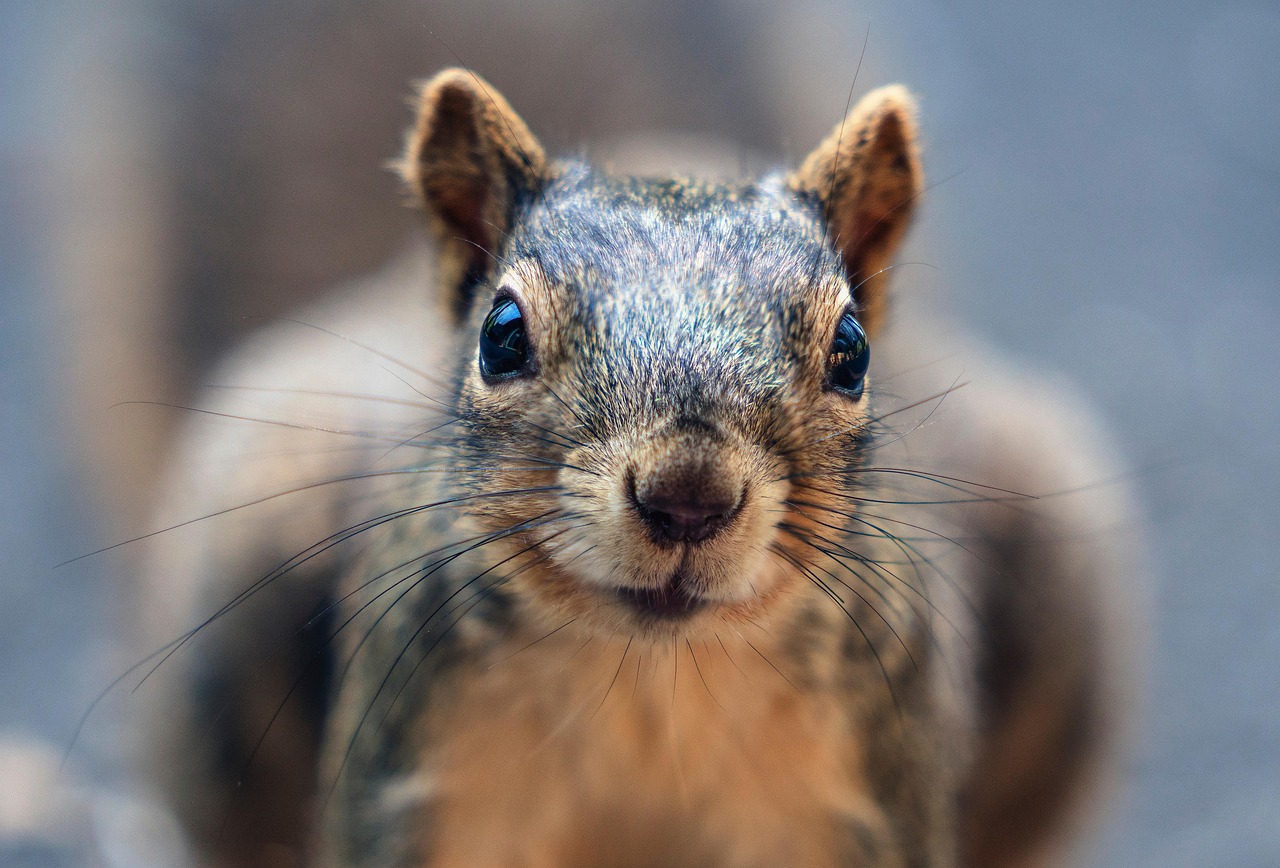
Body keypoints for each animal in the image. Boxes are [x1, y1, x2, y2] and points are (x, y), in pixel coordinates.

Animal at [131, 68, 1140, 867]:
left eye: (852, 351)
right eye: (501, 334)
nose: (689, 496)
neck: (653, 685)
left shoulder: (860, 804)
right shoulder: (423, 794)